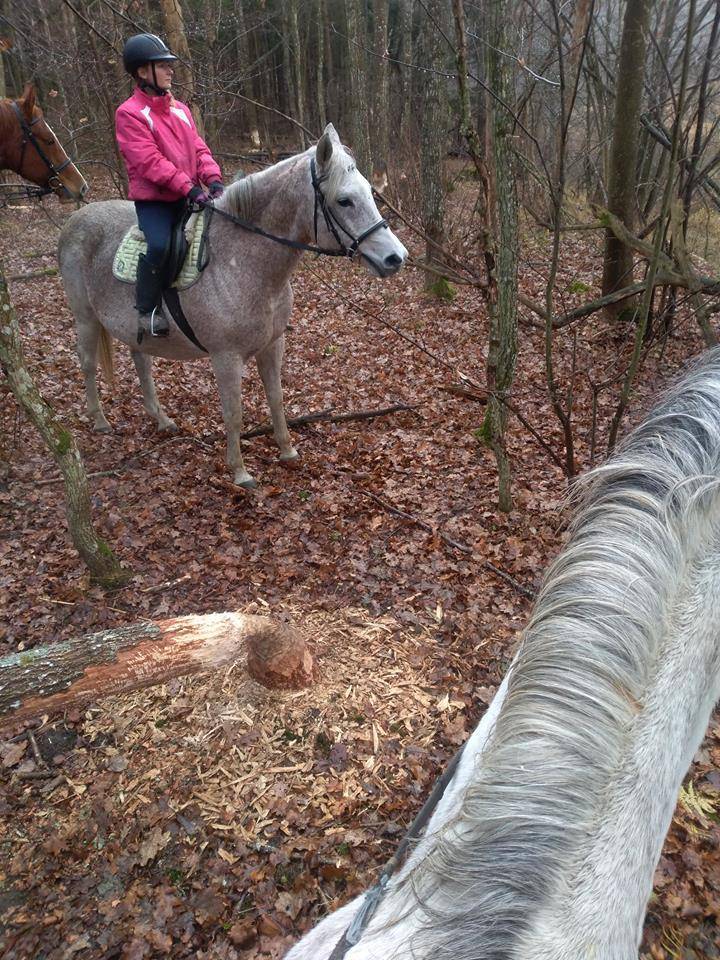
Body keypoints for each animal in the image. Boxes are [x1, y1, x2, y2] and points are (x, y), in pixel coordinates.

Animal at [57, 123, 408, 488]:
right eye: (344, 200)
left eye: (369, 192)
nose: (395, 257)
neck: (242, 261)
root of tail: (75, 218)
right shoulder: (226, 357)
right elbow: (233, 413)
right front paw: (240, 471)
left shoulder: (273, 344)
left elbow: (276, 398)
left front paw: (288, 452)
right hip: (85, 317)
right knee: (87, 363)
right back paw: (100, 420)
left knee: (141, 361)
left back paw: (161, 420)